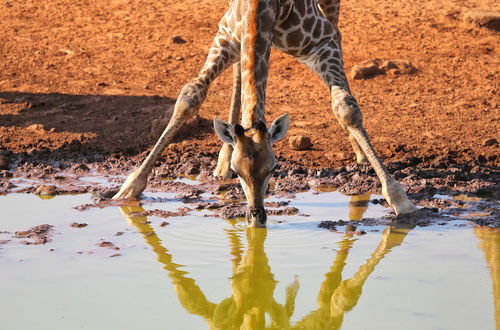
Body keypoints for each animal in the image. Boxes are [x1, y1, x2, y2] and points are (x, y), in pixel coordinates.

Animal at [114, 0, 418, 227]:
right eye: (239, 171)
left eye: (274, 168)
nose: (256, 217)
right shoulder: (226, 33)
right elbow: (190, 97)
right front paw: (129, 187)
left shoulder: (322, 41)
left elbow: (345, 106)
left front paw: (399, 198)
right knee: (239, 70)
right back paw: (221, 159)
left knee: (338, 31)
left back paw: (358, 150)